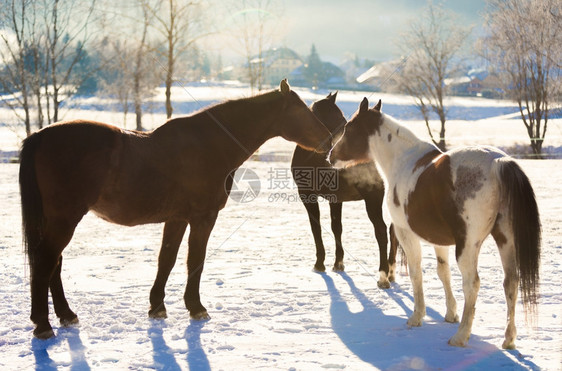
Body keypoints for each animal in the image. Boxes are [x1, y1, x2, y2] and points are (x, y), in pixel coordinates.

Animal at [19, 80, 330, 340]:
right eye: (302, 110)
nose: (329, 139)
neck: (210, 144)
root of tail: (40, 136)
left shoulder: (177, 219)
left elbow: (166, 259)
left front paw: (157, 306)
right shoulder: (203, 218)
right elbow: (195, 260)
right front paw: (196, 307)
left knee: (54, 264)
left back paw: (66, 315)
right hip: (64, 220)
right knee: (46, 263)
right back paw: (44, 324)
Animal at [290, 92, 396, 288]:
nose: (332, 153)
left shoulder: (307, 195)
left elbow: (316, 227)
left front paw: (319, 264)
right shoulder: (336, 198)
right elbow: (336, 227)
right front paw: (338, 263)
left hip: (373, 199)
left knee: (381, 231)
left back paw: (383, 276)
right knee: (394, 232)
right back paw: (391, 273)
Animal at [328, 98, 540, 348]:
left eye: (349, 128)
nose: (330, 156)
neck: (403, 161)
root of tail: (499, 162)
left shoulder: (406, 234)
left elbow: (415, 272)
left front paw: (417, 316)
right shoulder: (440, 241)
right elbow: (443, 272)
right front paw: (450, 314)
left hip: (468, 246)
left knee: (472, 284)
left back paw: (460, 336)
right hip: (505, 239)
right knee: (511, 282)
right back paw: (508, 339)